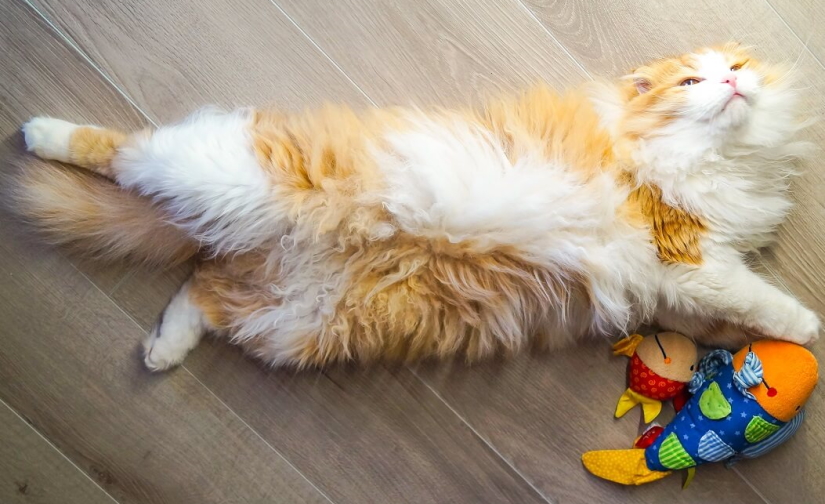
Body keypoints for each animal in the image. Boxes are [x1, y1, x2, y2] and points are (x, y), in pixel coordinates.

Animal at [12, 42, 816, 370]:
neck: (730, 158)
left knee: (199, 291)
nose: (733, 84)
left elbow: (722, 317)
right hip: (217, 173)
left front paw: (737, 349)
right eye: (692, 83)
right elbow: (758, 295)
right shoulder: (683, 249)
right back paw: (39, 131)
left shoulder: (675, 289)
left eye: (736, 67)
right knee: (120, 151)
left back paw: (162, 352)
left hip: (299, 321)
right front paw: (808, 329)